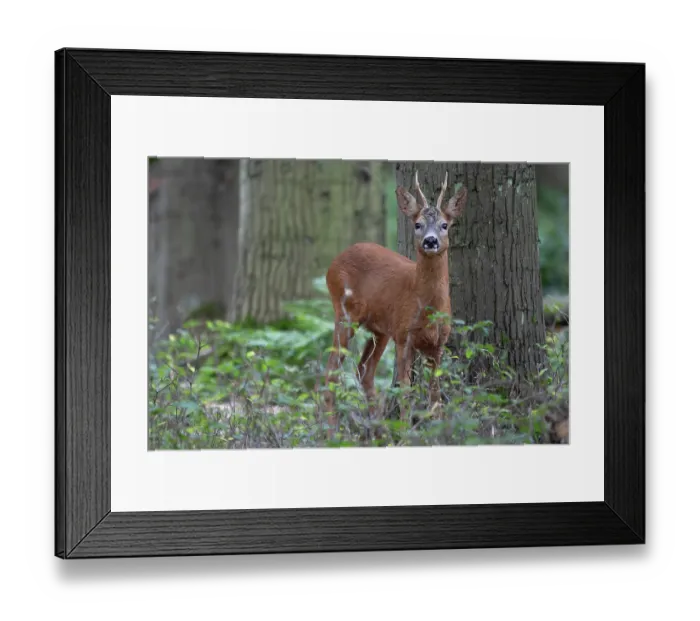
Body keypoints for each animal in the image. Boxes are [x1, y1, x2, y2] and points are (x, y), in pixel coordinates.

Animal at [322, 170, 468, 436]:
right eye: (418, 224)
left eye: (445, 225)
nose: (430, 241)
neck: (428, 308)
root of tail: (334, 261)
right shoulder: (404, 337)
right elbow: (406, 391)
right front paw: (406, 432)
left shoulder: (439, 343)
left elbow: (435, 394)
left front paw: (440, 431)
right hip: (345, 313)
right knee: (332, 372)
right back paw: (332, 434)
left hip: (379, 329)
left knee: (364, 371)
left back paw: (379, 430)